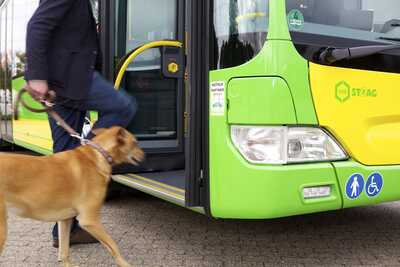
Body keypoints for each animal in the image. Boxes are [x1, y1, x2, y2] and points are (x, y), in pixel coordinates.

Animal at [0, 127, 144, 267]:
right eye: (135, 143)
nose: (144, 156)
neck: (98, 154)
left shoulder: (65, 220)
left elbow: (64, 250)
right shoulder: (89, 220)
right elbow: (113, 245)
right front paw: (124, 263)